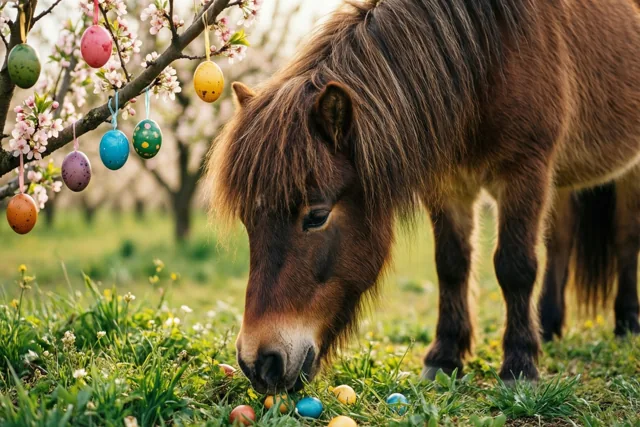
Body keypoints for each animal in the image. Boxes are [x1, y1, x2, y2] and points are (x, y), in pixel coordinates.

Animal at [206, 0, 640, 393]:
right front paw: (445, 357)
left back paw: (627, 324)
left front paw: (519, 366)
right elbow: (451, 264)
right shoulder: (449, 185)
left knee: (624, 240)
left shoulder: (525, 172)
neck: (490, 57)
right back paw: (548, 327)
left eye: (316, 215)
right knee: (561, 242)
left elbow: (515, 266)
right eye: (248, 222)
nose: (259, 363)